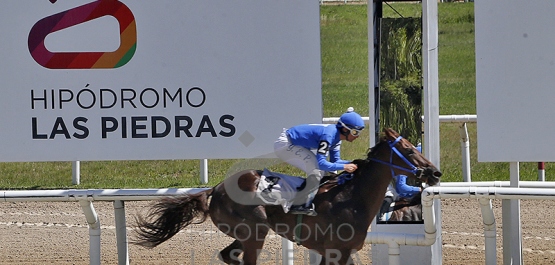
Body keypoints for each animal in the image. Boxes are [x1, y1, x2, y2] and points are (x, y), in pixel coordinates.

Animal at [132, 127, 440, 262]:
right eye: (409, 149)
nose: (435, 172)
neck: (353, 199)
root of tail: (215, 189)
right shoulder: (337, 251)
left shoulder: (340, 252)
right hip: (254, 232)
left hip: (245, 233)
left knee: (228, 255)